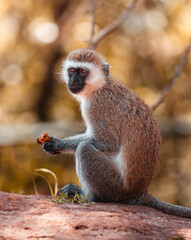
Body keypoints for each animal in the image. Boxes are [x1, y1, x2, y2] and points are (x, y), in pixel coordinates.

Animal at [43, 48, 191, 218]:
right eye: (72, 70)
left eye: (83, 71)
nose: (73, 81)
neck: (100, 85)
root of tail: (140, 192)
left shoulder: (95, 107)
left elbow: (108, 143)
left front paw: (57, 144)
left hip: (114, 186)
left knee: (84, 148)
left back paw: (91, 196)